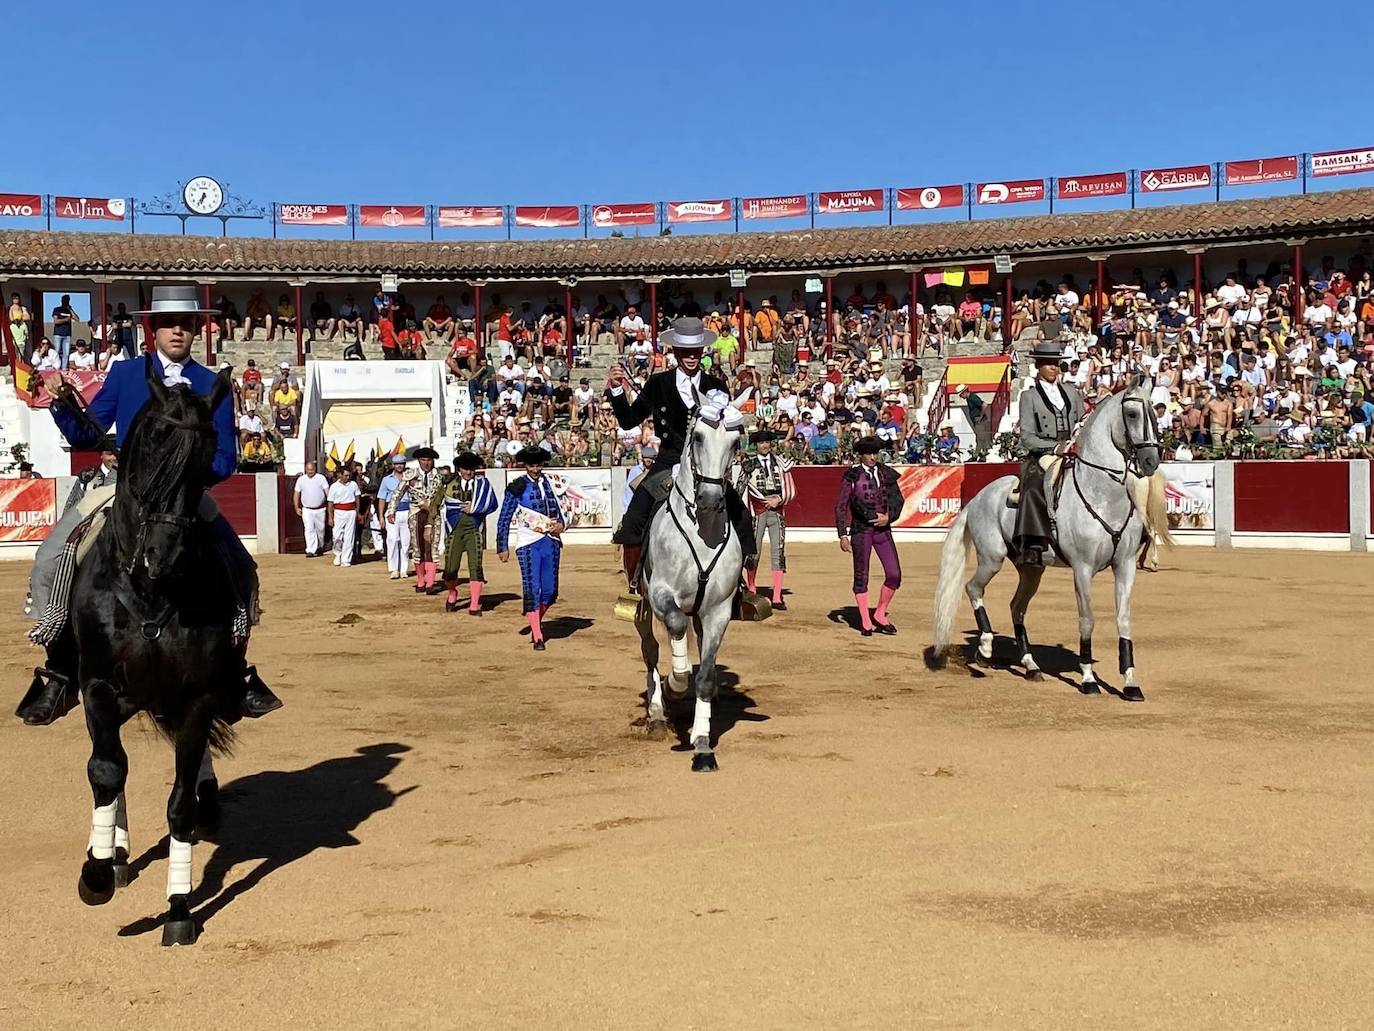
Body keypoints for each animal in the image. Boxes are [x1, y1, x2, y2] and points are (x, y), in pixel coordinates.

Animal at [72, 360, 251, 951]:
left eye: (208, 454)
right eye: (151, 439)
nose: (162, 555)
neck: (152, 594)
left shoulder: (197, 697)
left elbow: (180, 803)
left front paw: (178, 908)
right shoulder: (98, 686)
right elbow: (106, 770)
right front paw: (96, 874)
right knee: (111, 767)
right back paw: (116, 853)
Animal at [634, 398, 747, 769]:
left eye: (736, 442)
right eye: (697, 436)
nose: (711, 499)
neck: (703, 532)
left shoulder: (718, 611)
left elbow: (707, 675)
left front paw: (702, 743)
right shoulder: (661, 596)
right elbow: (675, 627)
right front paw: (674, 684)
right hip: (642, 606)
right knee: (651, 650)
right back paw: (657, 711)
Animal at [923, 379, 1170, 703]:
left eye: (1154, 413)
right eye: (1131, 414)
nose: (1150, 461)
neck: (1103, 494)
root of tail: (978, 497)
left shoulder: (1125, 565)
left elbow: (1124, 619)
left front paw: (1130, 683)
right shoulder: (1082, 568)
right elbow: (1087, 619)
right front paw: (1089, 679)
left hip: (1031, 568)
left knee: (1017, 606)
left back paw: (1031, 666)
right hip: (992, 558)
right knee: (973, 588)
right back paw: (985, 648)